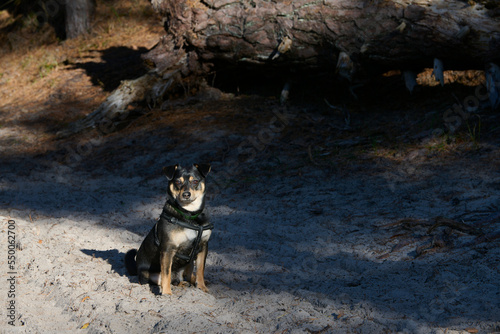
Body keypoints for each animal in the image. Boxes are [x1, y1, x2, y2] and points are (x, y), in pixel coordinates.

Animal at [125, 163, 213, 294]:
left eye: (195, 181)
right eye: (177, 182)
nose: (186, 194)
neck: (189, 214)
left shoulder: (203, 246)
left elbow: (200, 270)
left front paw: (202, 287)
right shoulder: (168, 249)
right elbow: (166, 273)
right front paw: (167, 293)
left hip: (188, 264)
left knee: (187, 274)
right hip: (151, 275)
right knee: (168, 279)